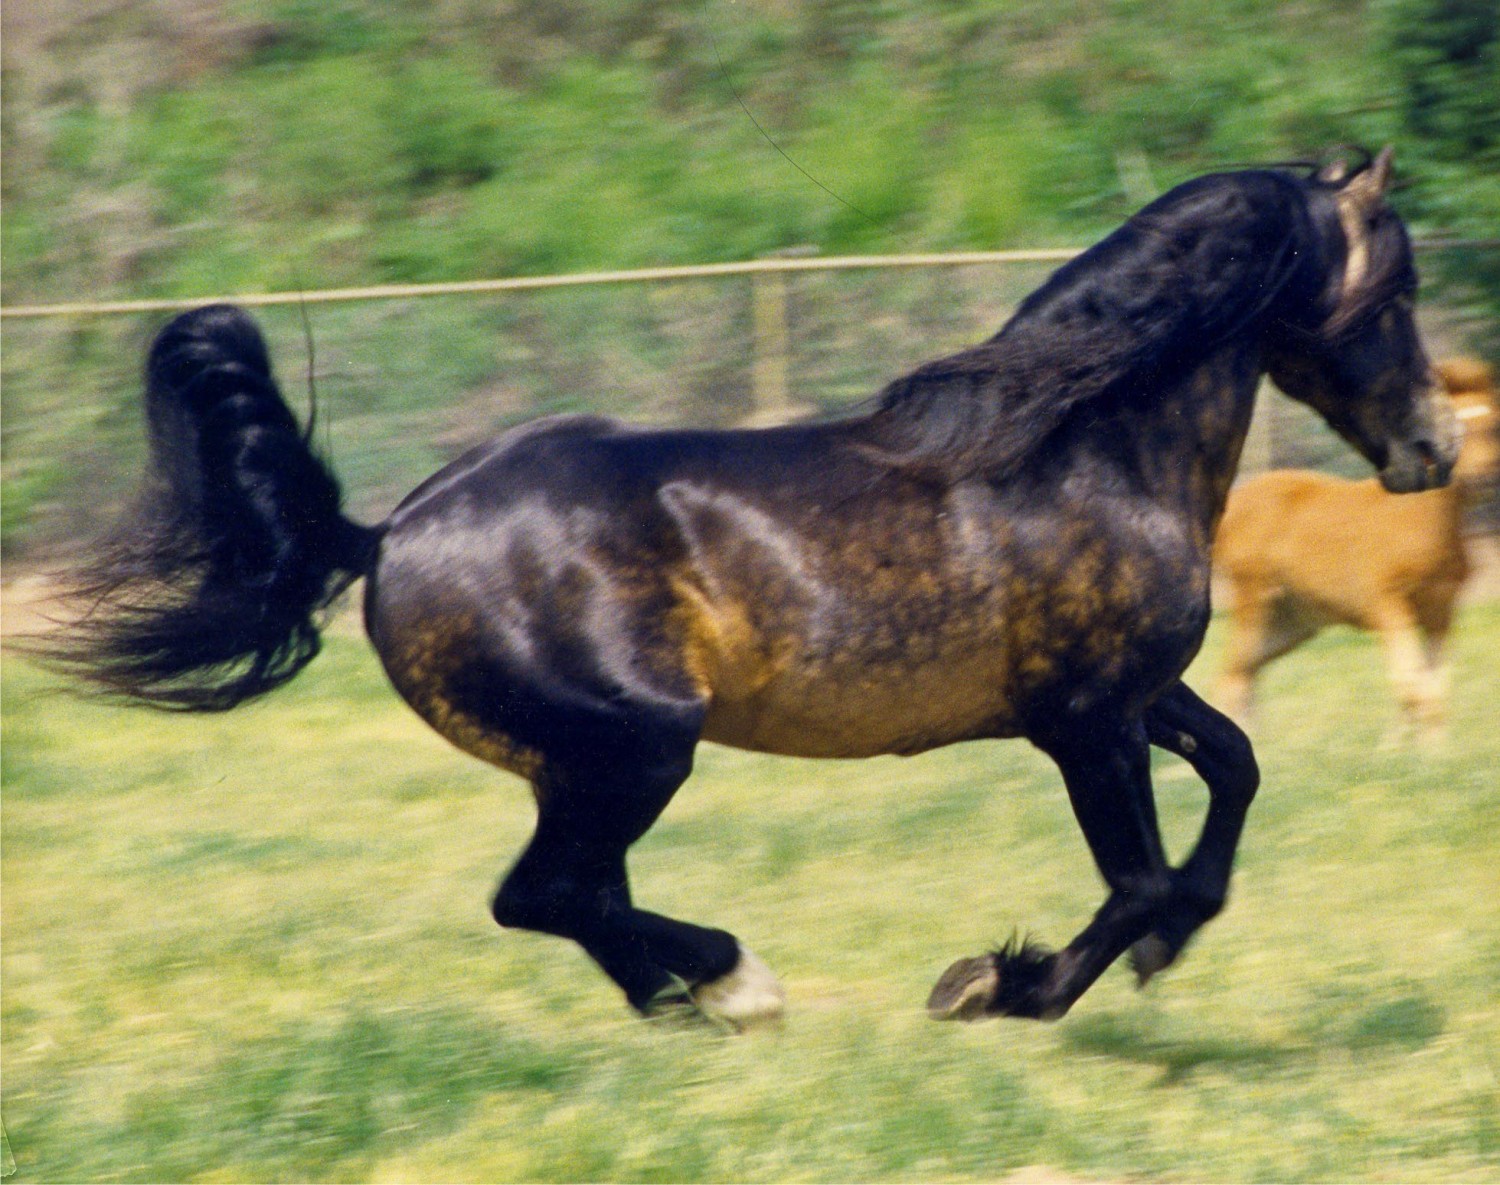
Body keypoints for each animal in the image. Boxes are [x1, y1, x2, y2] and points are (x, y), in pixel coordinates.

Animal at [33, 147, 1458, 1028]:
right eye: (1396, 285)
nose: (1434, 449)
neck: (1082, 449)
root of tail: (384, 537)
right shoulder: (1085, 722)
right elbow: (1143, 876)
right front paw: (998, 986)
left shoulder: (1134, 696)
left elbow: (1233, 774)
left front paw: (1155, 951)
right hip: (635, 749)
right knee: (548, 895)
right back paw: (735, 986)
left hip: (585, 767)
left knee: (574, 898)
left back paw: (694, 1001)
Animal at [1214, 356, 1498, 744]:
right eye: (1457, 432)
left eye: (1494, 427)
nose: (1482, 479)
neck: (1427, 523)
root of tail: (1233, 504)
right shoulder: (1387, 604)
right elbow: (1410, 686)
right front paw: (1406, 751)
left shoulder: (1440, 612)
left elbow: (1432, 688)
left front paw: (1431, 750)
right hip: (1253, 604)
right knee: (1231, 678)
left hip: (1291, 623)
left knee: (1243, 674)